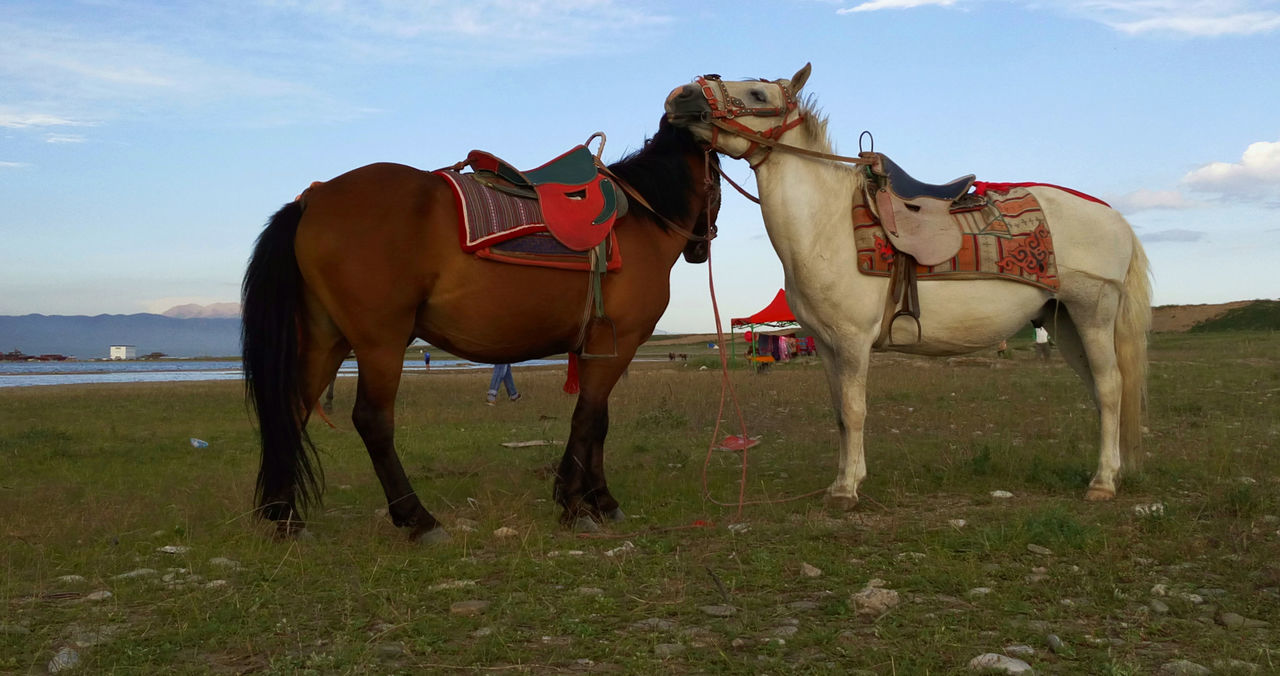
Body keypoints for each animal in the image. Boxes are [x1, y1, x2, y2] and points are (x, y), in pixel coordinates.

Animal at [240, 114, 721, 537]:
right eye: (715, 177)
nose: (701, 246)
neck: (642, 219)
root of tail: (312, 199)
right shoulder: (619, 343)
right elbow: (587, 420)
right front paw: (575, 504)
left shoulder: (600, 346)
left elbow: (597, 420)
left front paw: (599, 501)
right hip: (380, 342)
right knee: (372, 420)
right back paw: (418, 520)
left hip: (326, 338)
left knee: (293, 408)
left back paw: (284, 517)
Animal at [665, 64, 1157, 507]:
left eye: (757, 94)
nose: (678, 96)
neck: (826, 226)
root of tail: (1114, 216)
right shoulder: (825, 343)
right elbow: (840, 413)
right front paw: (845, 479)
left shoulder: (852, 340)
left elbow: (855, 410)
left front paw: (846, 492)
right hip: (1062, 320)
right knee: (1099, 390)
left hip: (1093, 313)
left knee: (1110, 387)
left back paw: (1102, 484)